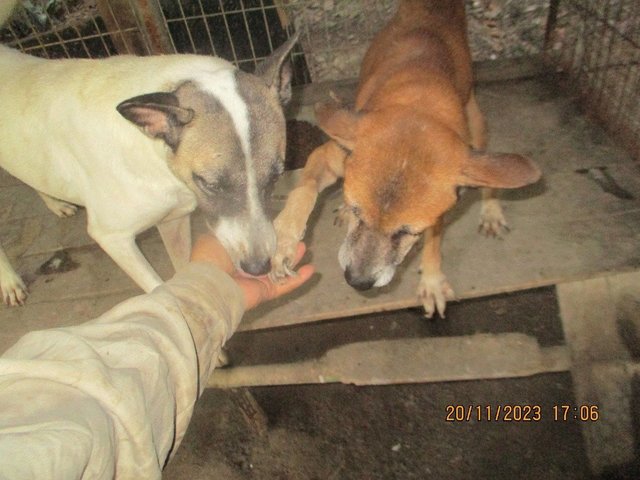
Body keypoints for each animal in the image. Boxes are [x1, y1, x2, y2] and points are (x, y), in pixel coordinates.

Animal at [0, 0, 296, 304]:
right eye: (210, 184)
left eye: (276, 177)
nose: (258, 267)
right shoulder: (113, 237)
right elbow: (157, 288)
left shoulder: (174, 220)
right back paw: (9, 281)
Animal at [270, 0, 540, 316]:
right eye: (359, 213)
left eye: (407, 232)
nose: (357, 282)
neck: (418, 100)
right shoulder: (330, 153)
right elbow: (304, 189)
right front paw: (283, 240)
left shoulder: (439, 207)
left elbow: (434, 242)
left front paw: (432, 280)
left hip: (477, 127)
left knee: (492, 169)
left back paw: (492, 210)